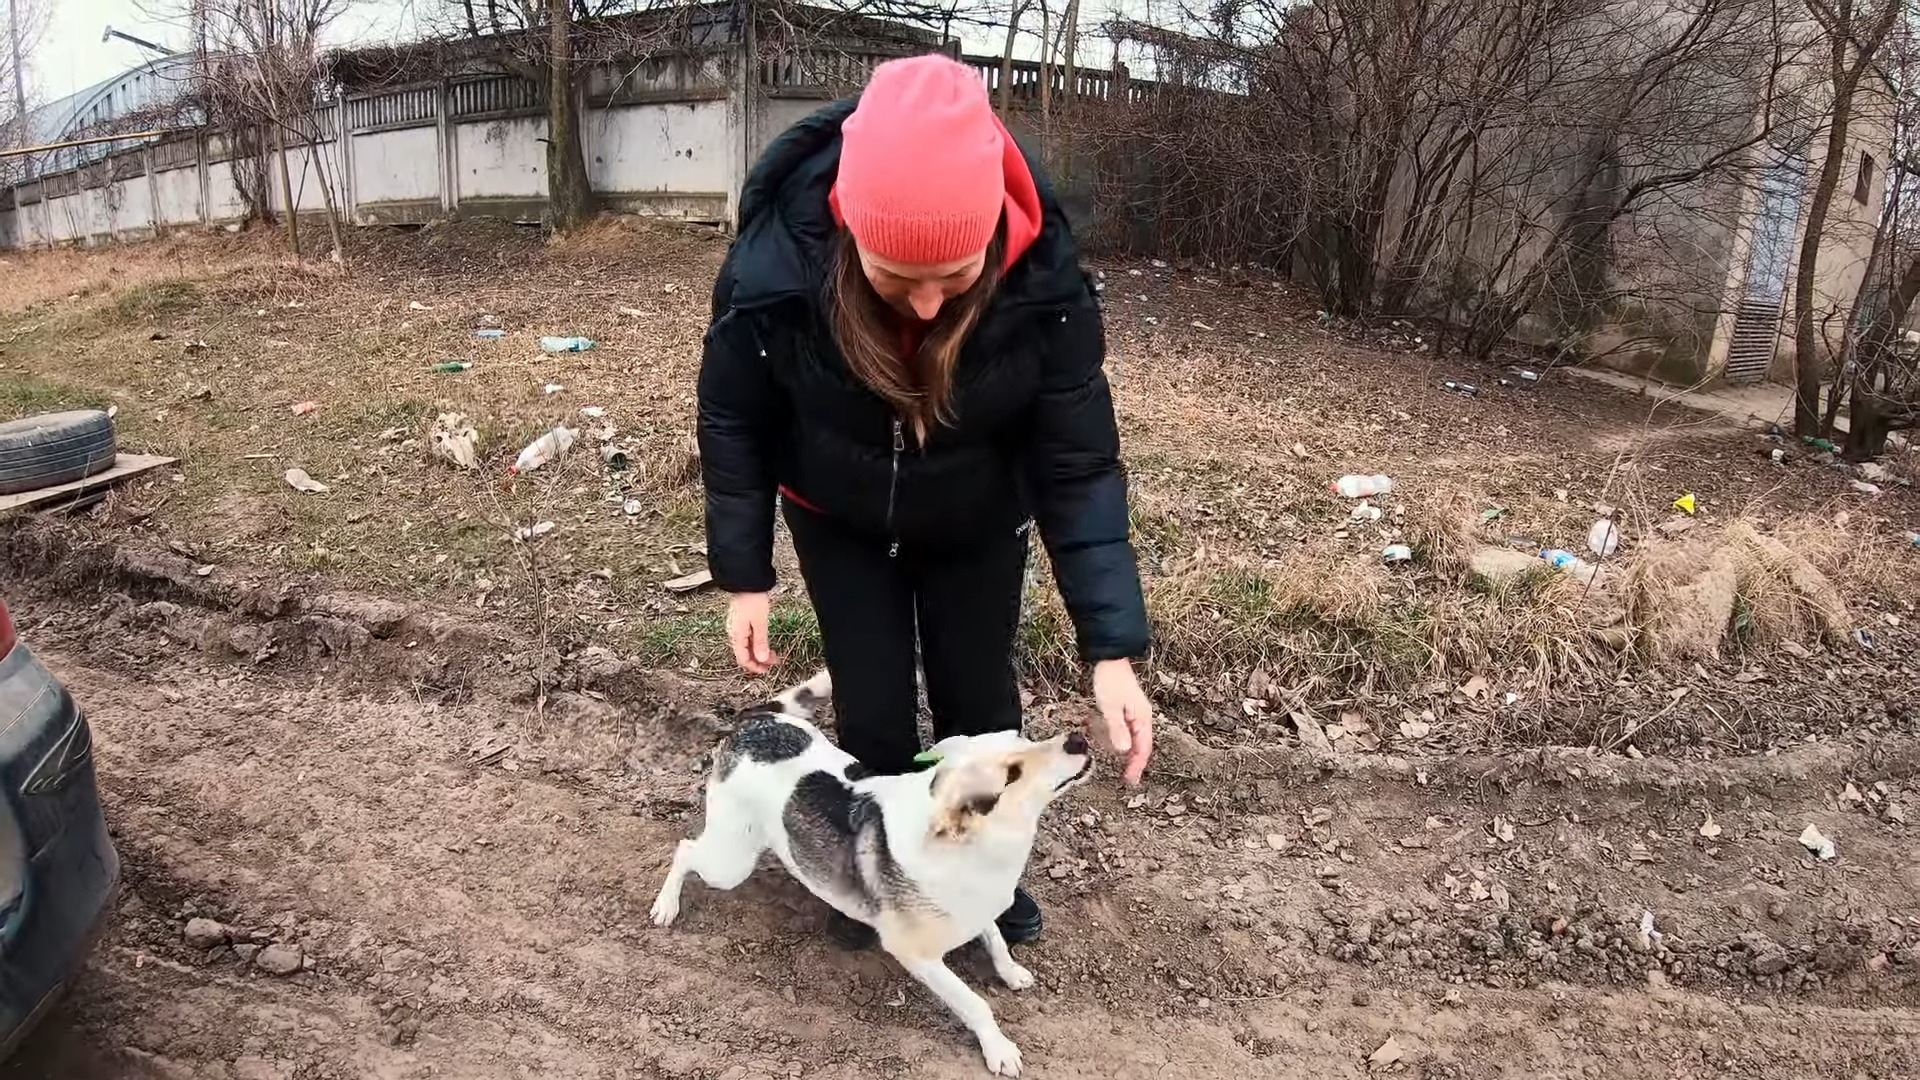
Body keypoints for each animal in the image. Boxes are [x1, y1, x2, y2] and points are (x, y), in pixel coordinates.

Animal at [648, 668, 1090, 1068]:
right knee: (685, 849)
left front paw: (1011, 971)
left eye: (1020, 738)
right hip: (730, 863)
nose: (1078, 738)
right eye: (1011, 775)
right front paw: (998, 1049)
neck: (973, 847)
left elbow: (996, 941)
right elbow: (975, 1003)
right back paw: (666, 904)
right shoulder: (917, 955)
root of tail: (754, 720)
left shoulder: (978, 905)